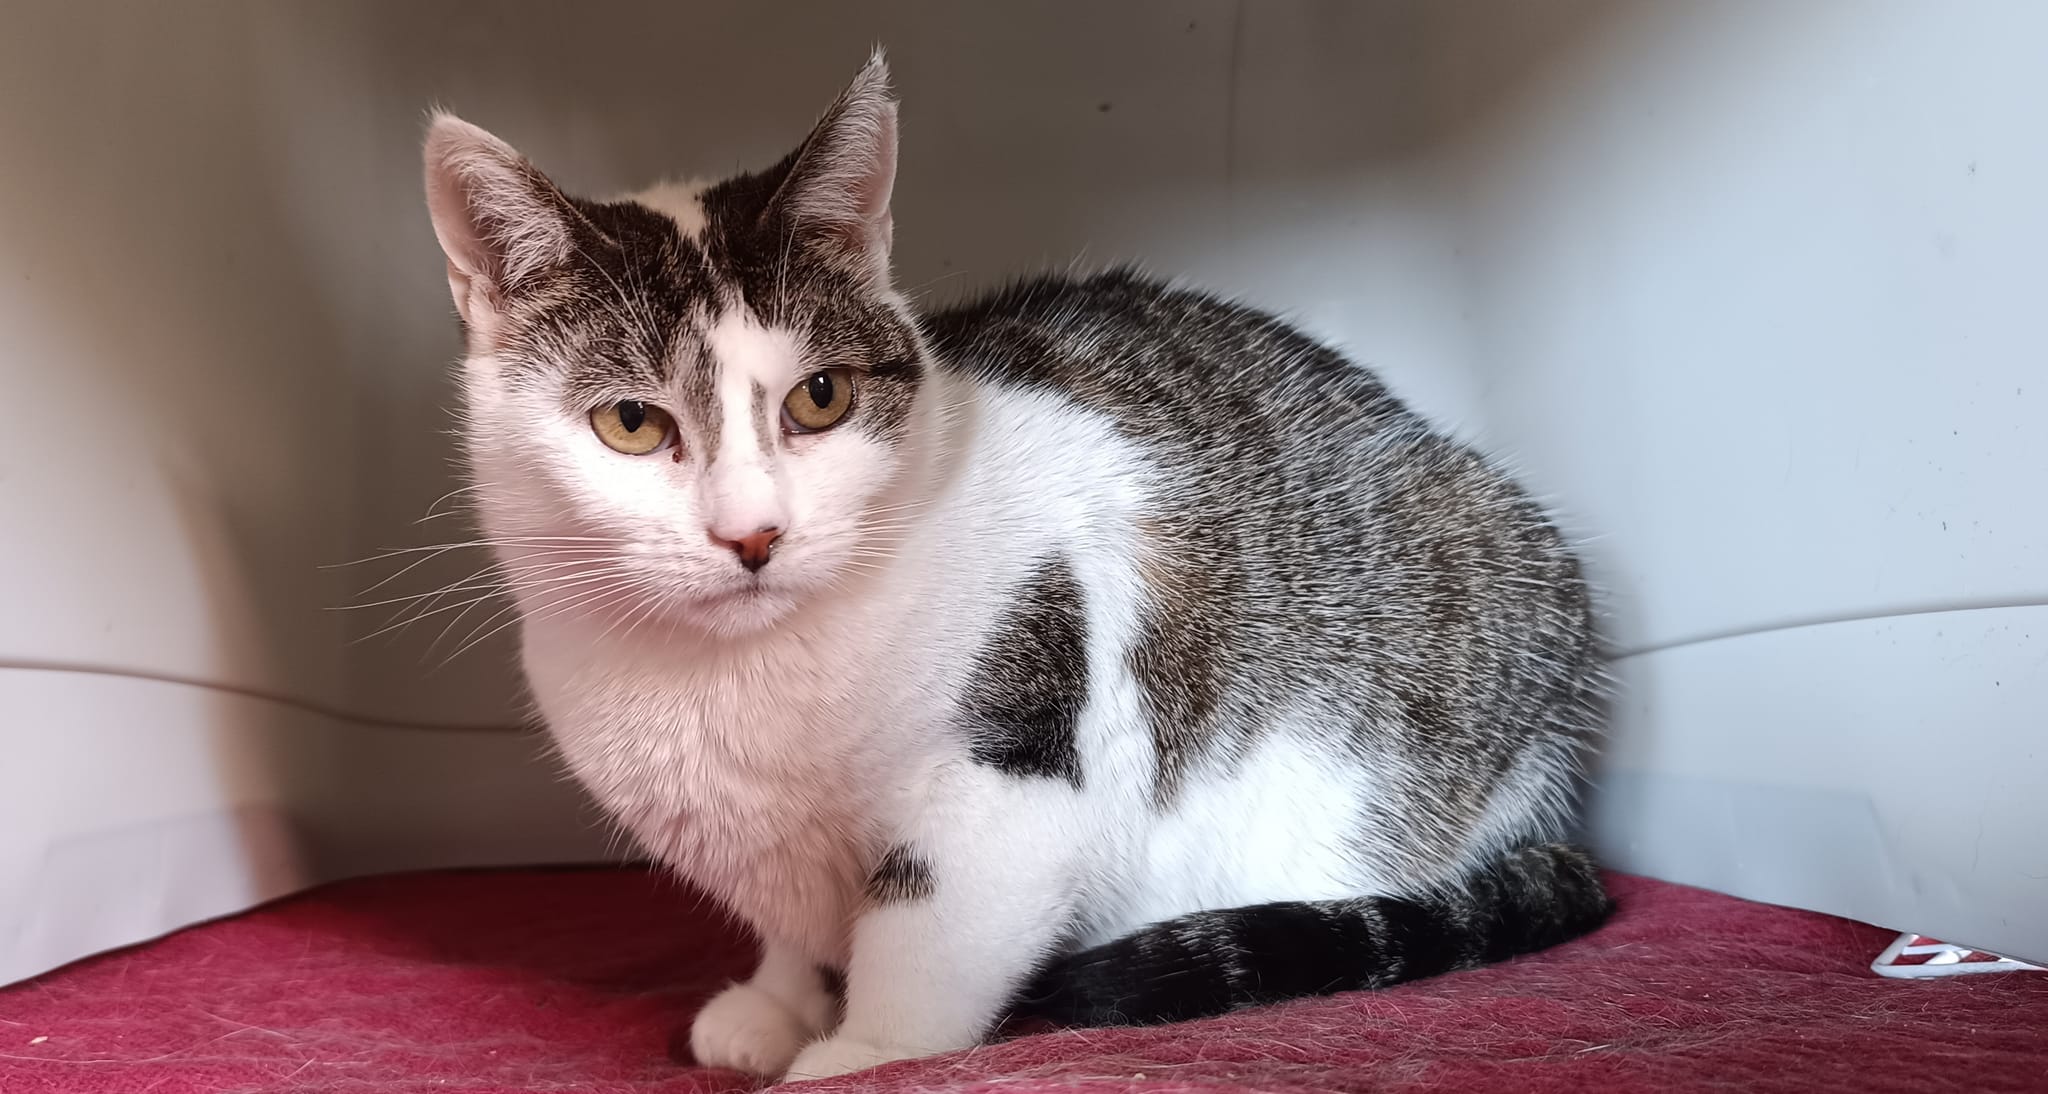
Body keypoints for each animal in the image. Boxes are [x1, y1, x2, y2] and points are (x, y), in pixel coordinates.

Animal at [420, 52, 1609, 1083]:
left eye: (820, 397)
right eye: (631, 422)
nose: (752, 533)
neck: (740, 680)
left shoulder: (1016, 766)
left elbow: (928, 929)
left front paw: (864, 1052)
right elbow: (793, 924)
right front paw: (777, 1002)